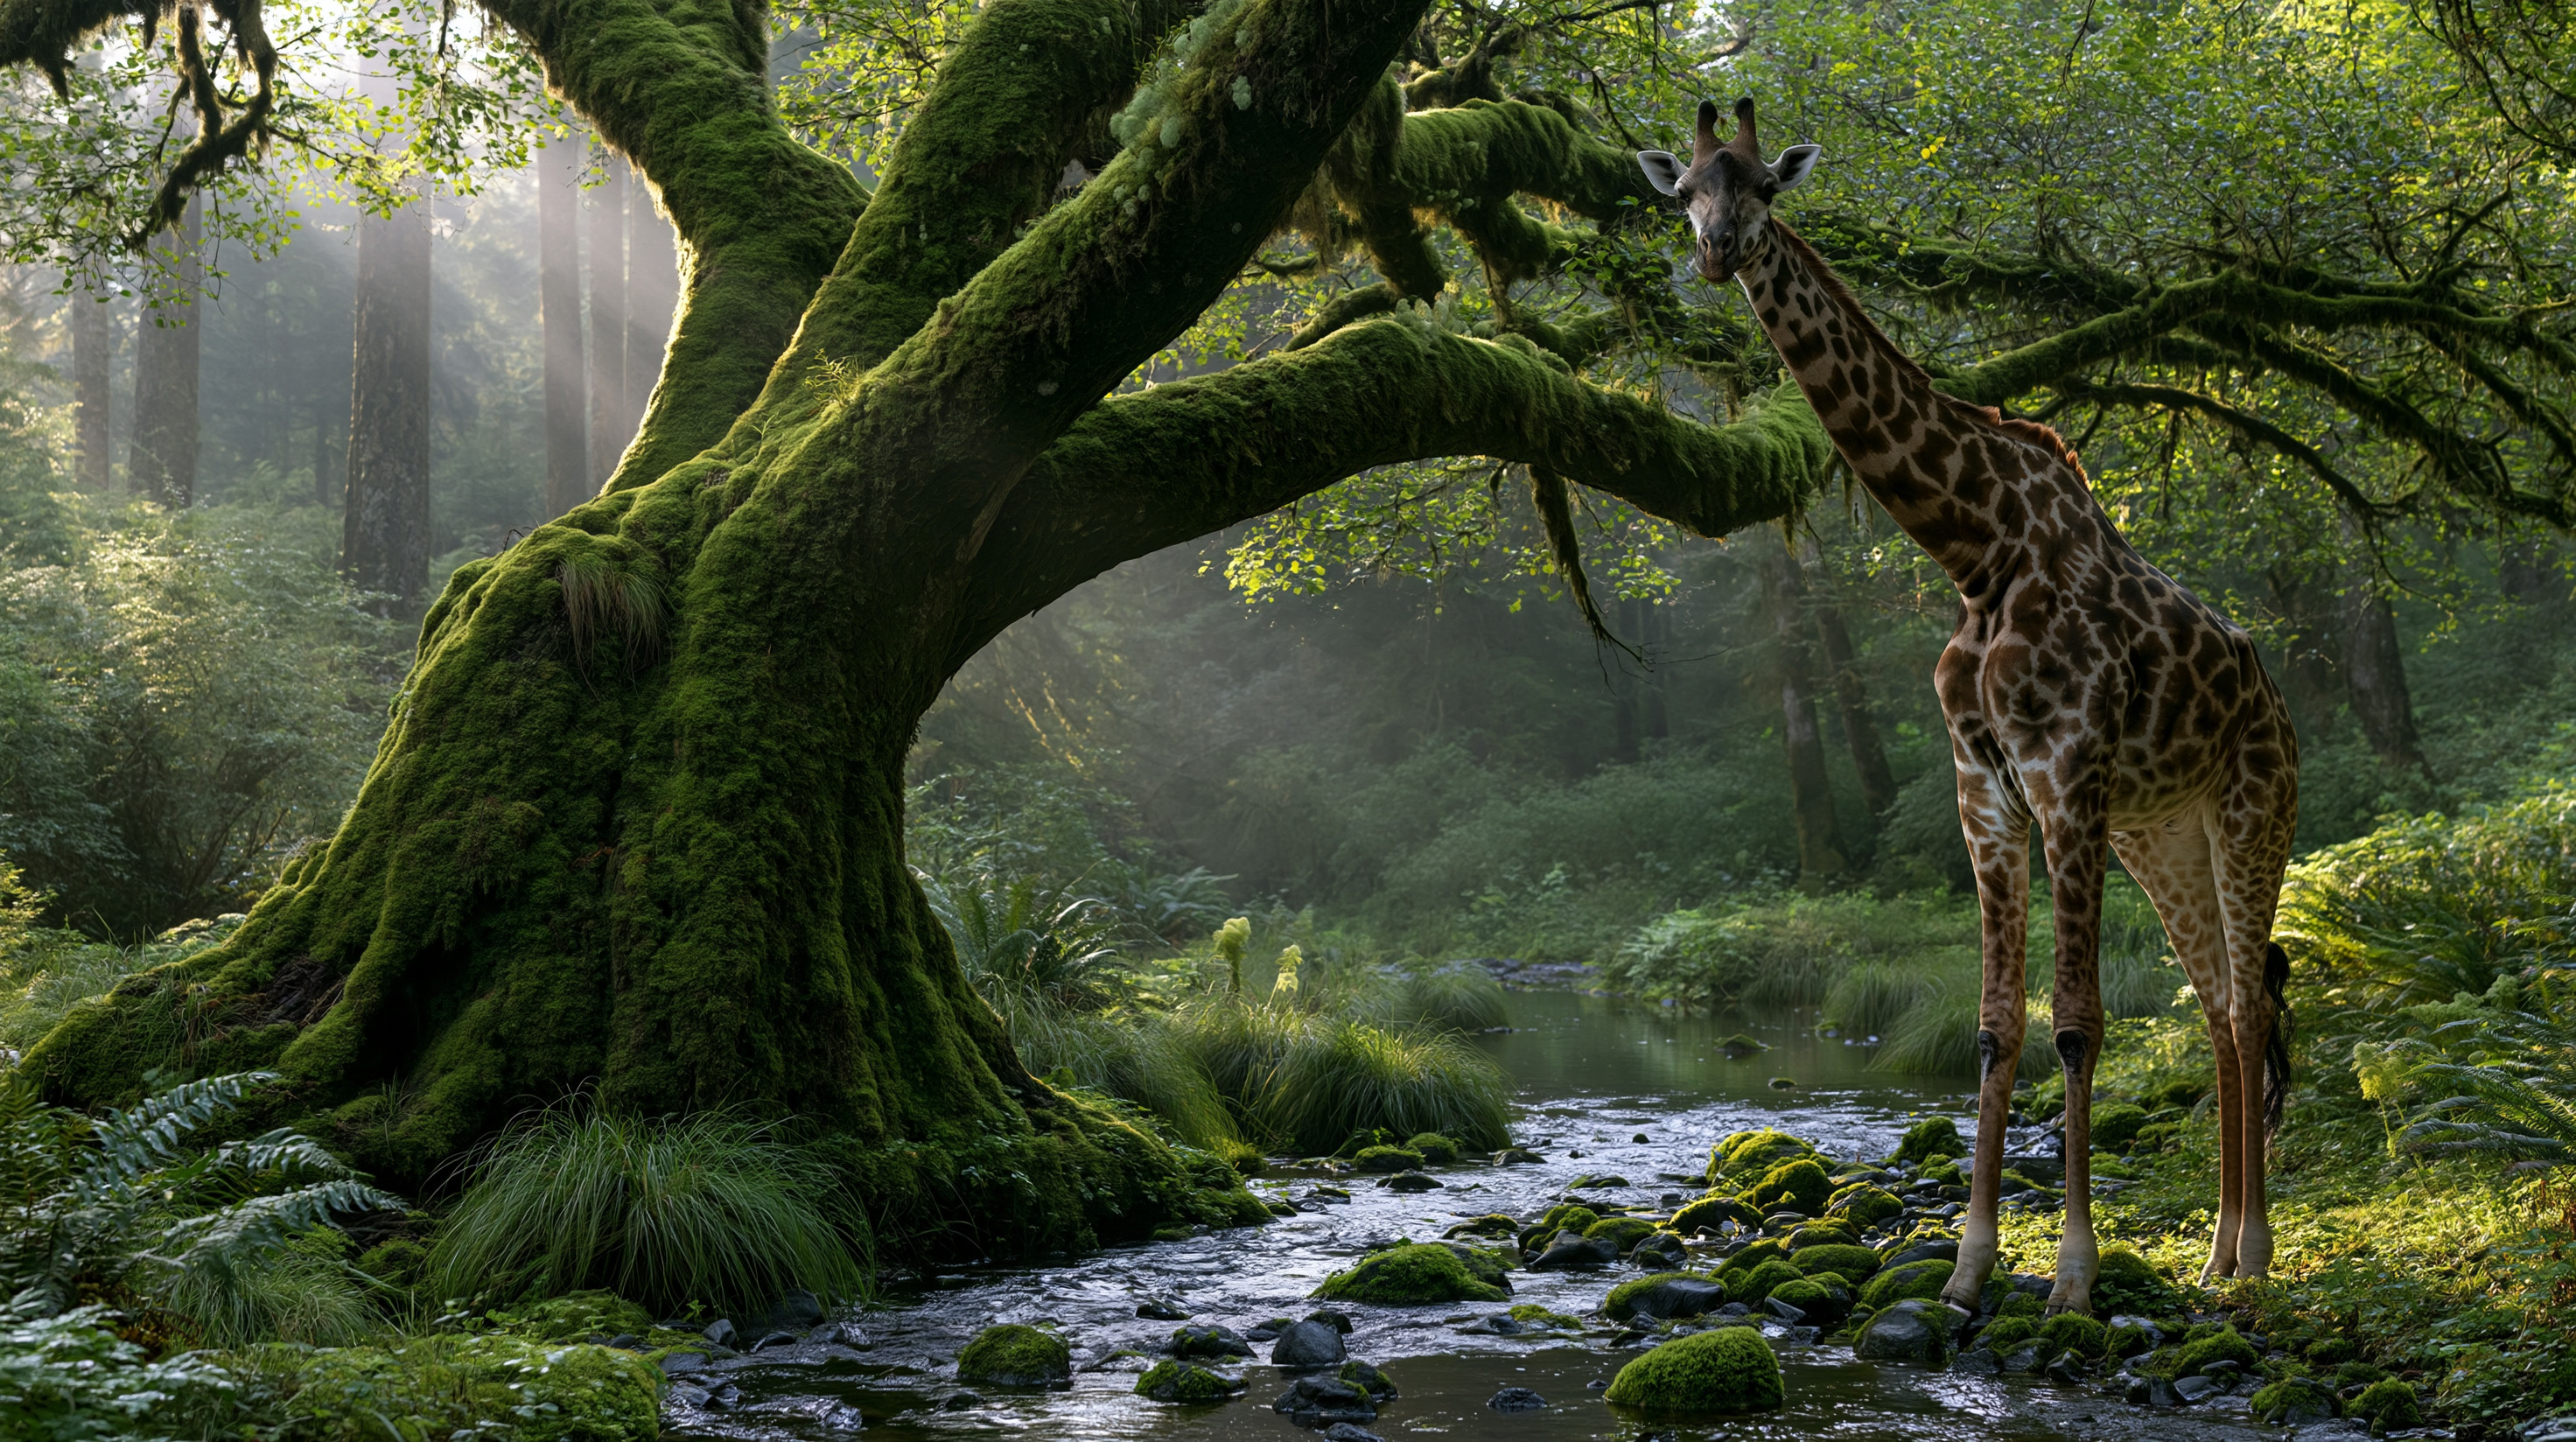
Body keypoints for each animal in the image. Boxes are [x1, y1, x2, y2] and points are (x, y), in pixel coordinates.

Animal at [1638, 99, 2300, 1316]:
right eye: (1684, 193)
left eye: (1764, 184)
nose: (1716, 252)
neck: (1974, 546)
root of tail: (2277, 706)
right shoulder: (1983, 789)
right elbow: (1997, 1031)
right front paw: (1967, 1267)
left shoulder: (2067, 772)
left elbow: (2076, 1024)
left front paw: (2074, 1276)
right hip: (2163, 835)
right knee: (2222, 1007)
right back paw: (2219, 1255)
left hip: (2251, 813)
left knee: (2246, 999)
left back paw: (2255, 1254)